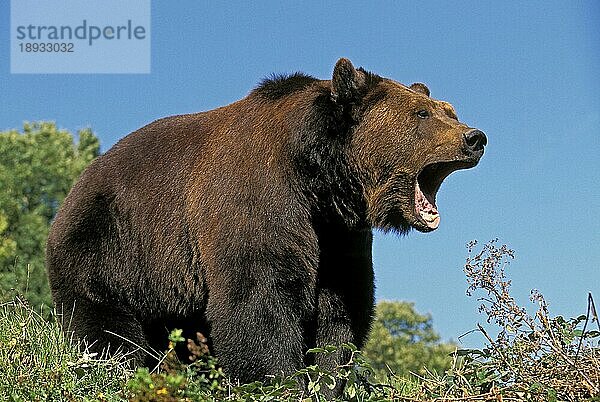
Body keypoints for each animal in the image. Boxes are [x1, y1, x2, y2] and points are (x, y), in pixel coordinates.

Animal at [48, 59, 488, 390]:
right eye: (422, 114)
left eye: (449, 110)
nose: (475, 137)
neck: (319, 179)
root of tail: (77, 184)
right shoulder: (260, 200)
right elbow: (260, 297)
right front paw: (278, 378)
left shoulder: (339, 236)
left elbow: (341, 307)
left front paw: (329, 376)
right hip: (113, 248)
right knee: (106, 323)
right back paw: (119, 366)